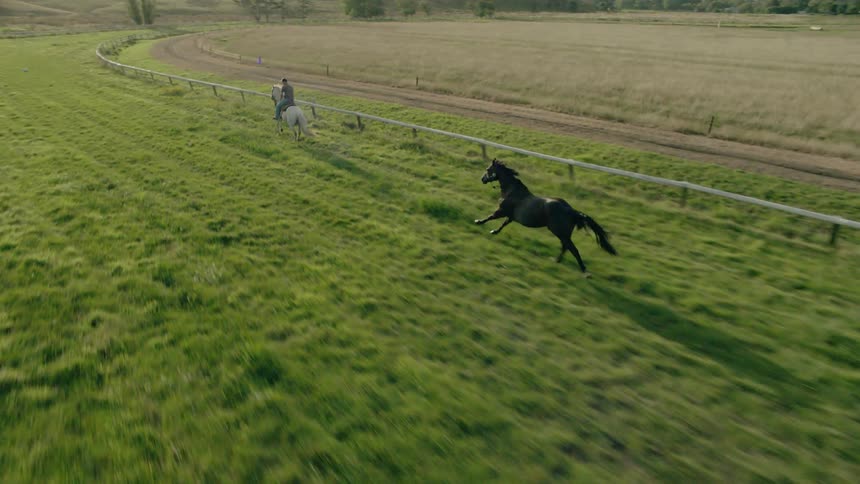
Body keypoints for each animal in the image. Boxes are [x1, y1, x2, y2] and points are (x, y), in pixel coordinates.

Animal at [474, 158, 617, 277]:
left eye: (488, 169)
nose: (482, 179)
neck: (512, 191)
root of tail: (571, 211)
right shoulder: (511, 216)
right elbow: (503, 224)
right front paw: (494, 231)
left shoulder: (502, 211)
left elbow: (490, 217)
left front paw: (478, 222)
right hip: (563, 234)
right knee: (565, 247)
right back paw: (557, 260)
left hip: (560, 232)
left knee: (573, 249)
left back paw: (584, 271)